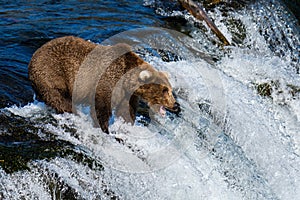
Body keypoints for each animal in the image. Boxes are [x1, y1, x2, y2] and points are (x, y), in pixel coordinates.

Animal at [28, 36, 179, 133]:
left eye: (170, 89)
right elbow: (101, 106)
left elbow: (126, 111)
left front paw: (127, 124)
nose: (176, 105)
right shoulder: (108, 81)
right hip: (52, 73)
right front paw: (104, 128)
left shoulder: (127, 95)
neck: (127, 80)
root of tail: (34, 55)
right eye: (165, 90)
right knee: (59, 98)